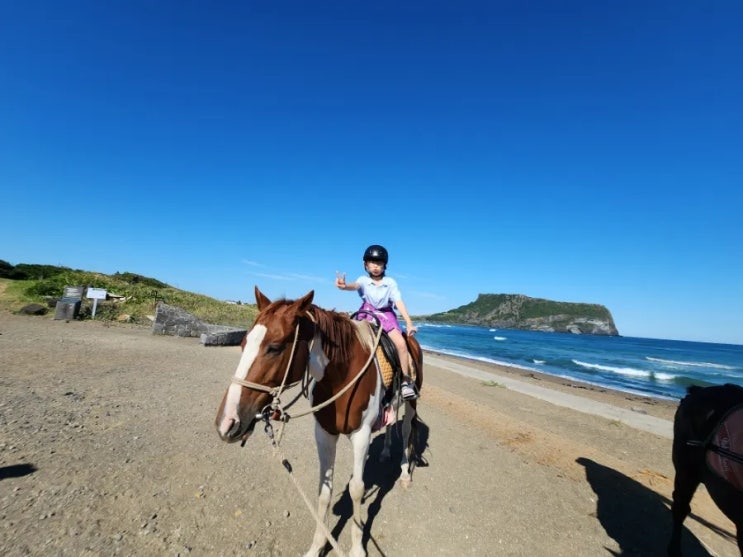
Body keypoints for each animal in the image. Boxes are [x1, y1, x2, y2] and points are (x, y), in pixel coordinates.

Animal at [217, 286, 424, 556]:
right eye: (242, 343)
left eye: (274, 347)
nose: (227, 422)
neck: (343, 375)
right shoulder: (324, 433)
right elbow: (324, 491)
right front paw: (318, 545)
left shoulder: (361, 435)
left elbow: (356, 489)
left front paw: (357, 548)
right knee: (390, 425)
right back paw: (386, 451)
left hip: (411, 403)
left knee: (408, 428)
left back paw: (404, 473)